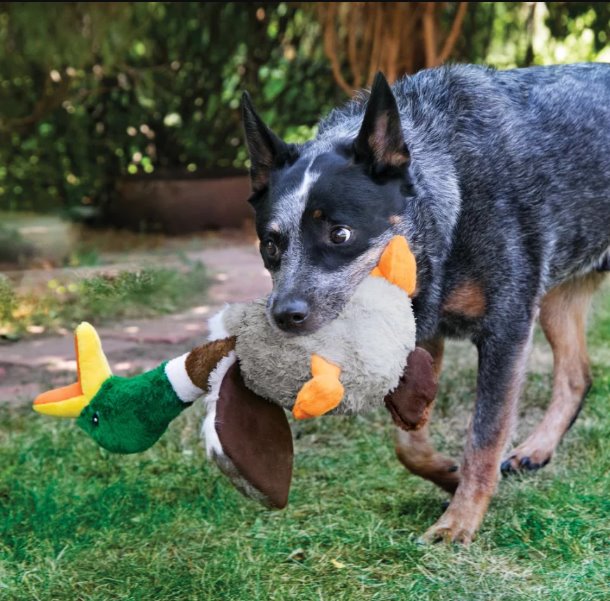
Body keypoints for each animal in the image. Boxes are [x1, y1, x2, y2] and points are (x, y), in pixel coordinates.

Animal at [239, 63, 608, 540]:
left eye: (340, 233)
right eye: (270, 244)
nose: (285, 314)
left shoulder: (506, 327)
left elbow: (484, 437)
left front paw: (459, 522)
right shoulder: (423, 332)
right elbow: (408, 440)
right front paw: (447, 475)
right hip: (557, 301)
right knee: (577, 374)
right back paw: (538, 448)